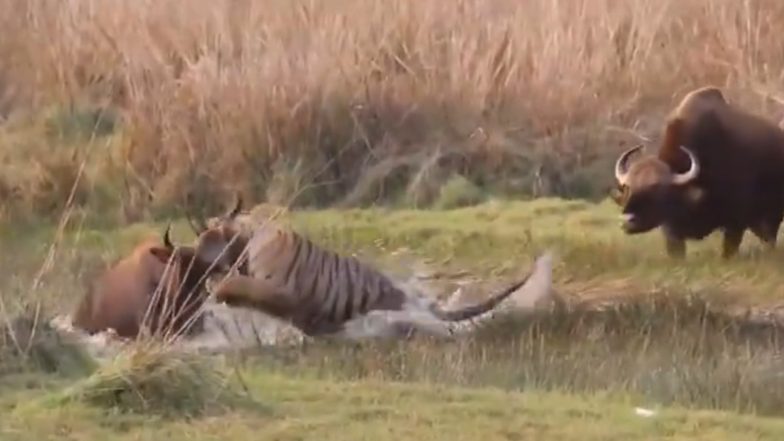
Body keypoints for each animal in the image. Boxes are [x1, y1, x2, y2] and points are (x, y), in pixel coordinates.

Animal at [185, 194, 552, 338]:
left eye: (205, 235)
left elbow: (242, 286)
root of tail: (416, 300)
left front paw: (219, 288)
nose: (191, 257)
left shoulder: (280, 287)